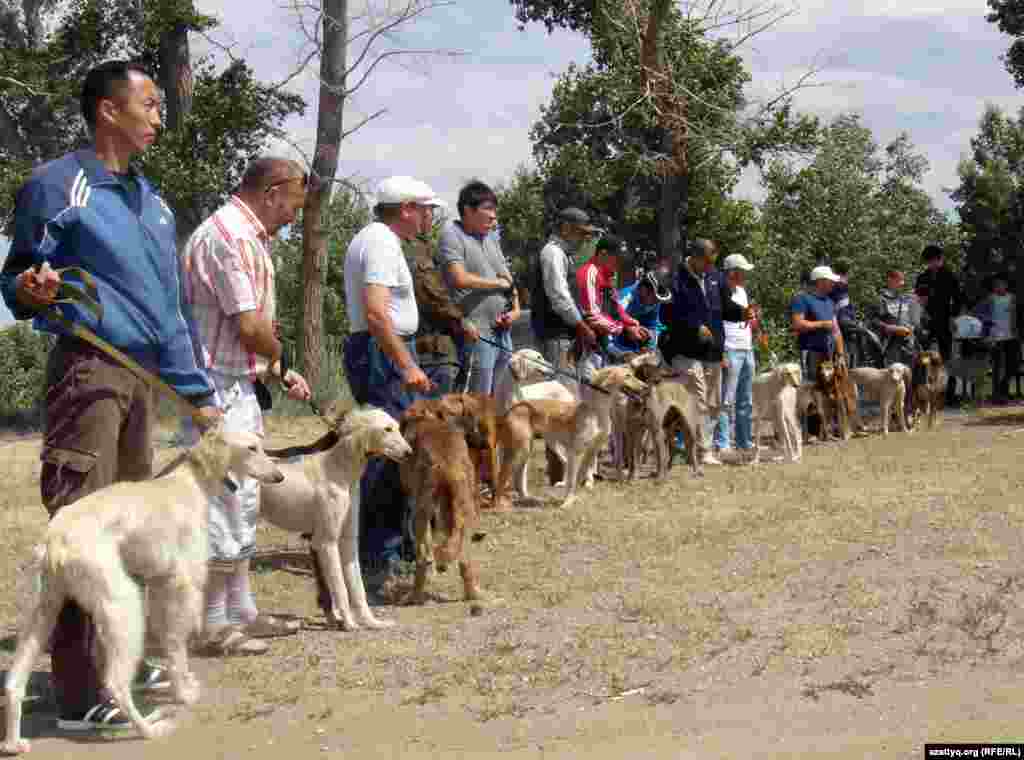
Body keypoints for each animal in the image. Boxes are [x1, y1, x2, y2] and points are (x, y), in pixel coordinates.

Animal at [3, 426, 284, 753]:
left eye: (261, 445)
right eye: (252, 448)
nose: (279, 476)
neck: (192, 483)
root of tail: (54, 540)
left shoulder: (160, 583)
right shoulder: (179, 585)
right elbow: (176, 645)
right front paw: (184, 692)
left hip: (44, 610)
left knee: (14, 681)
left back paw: (13, 743)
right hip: (123, 603)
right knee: (115, 682)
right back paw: (150, 728)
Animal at [260, 407, 411, 635]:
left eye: (398, 428)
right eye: (387, 429)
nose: (410, 453)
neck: (340, 469)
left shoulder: (348, 540)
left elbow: (358, 588)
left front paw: (371, 622)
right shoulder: (326, 543)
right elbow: (340, 588)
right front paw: (349, 624)